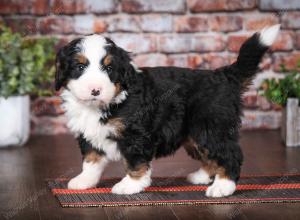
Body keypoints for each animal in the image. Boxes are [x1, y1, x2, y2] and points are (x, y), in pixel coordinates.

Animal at [55, 24, 280, 198]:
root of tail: (224, 75)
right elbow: (91, 160)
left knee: (229, 154)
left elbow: (135, 161)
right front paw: (84, 181)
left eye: (109, 69)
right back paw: (202, 176)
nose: (95, 90)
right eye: (80, 67)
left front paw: (130, 185)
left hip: (211, 127)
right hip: (194, 134)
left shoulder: (136, 134)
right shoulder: (87, 133)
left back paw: (223, 186)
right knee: (209, 154)